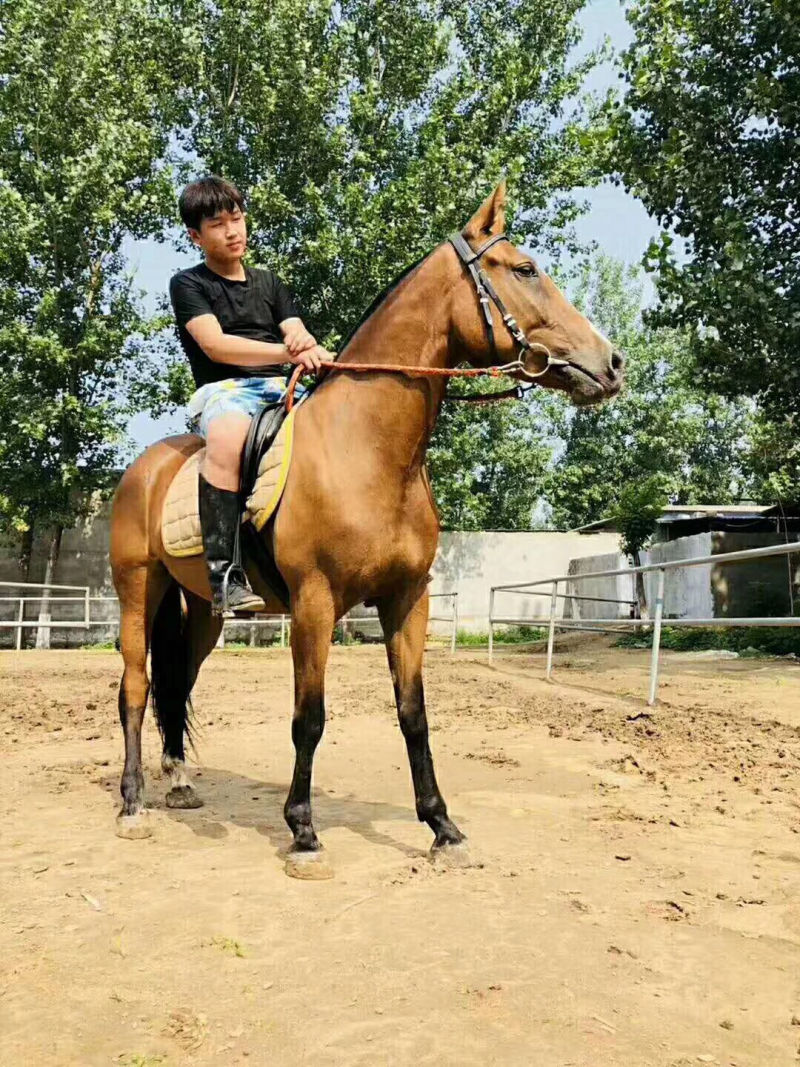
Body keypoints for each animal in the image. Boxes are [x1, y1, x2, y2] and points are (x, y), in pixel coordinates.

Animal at [109, 181, 623, 875]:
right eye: (524, 270)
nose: (611, 363)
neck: (370, 450)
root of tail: (146, 467)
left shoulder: (407, 599)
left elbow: (413, 713)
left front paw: (443, 828)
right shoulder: (315, 603)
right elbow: (309, 717)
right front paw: (303, 833)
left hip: (202, 611)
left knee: (177, 681)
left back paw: (180, 781)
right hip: (138, 591)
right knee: (135, 686)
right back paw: (133, 804)